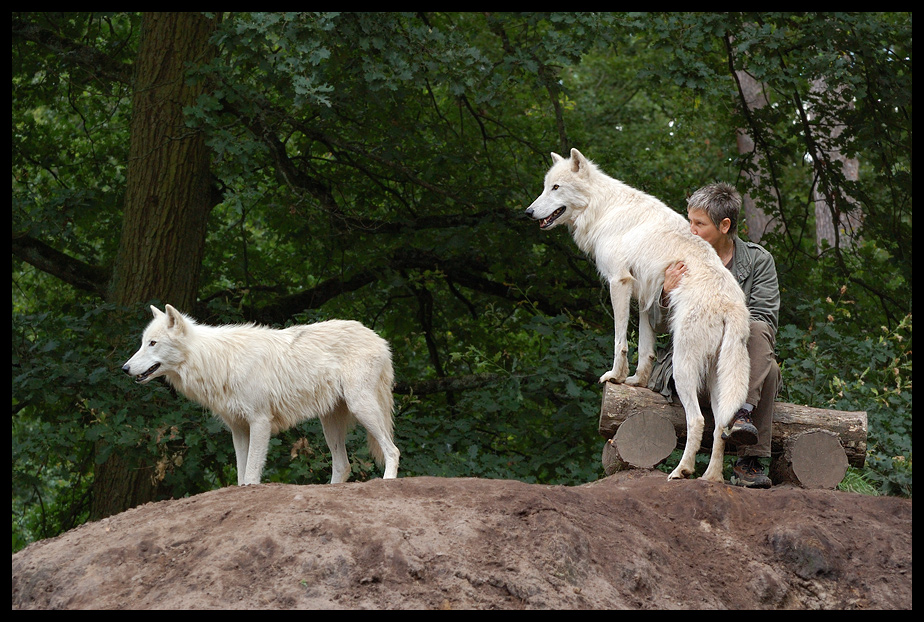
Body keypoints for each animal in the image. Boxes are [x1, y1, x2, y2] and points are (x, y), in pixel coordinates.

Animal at [121, 306, 398, 488]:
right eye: (143, 342)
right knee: (343, 465)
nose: (124, 368)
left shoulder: (260, 422)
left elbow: (252, 474)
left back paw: (387, 481)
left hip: (361, 407)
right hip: (329, 424)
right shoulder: (238, 429)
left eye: (153, 343)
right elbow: (241, 475)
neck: (216, 361)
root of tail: (379, 338)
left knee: (392, 450)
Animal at [528, 149, 752, 486]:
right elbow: (646, 348)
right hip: (717, 380)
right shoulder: (647, 297)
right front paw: (637, 382)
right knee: (721, 427)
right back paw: (711, 478)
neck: (603, 209)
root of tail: (732, 305)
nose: (528, 212)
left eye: (556, 188)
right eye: (545, 187)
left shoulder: (618, 282)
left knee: (698, 421)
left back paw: (681, 471)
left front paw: (616, 376)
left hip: (684, 369)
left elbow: (620, 340)